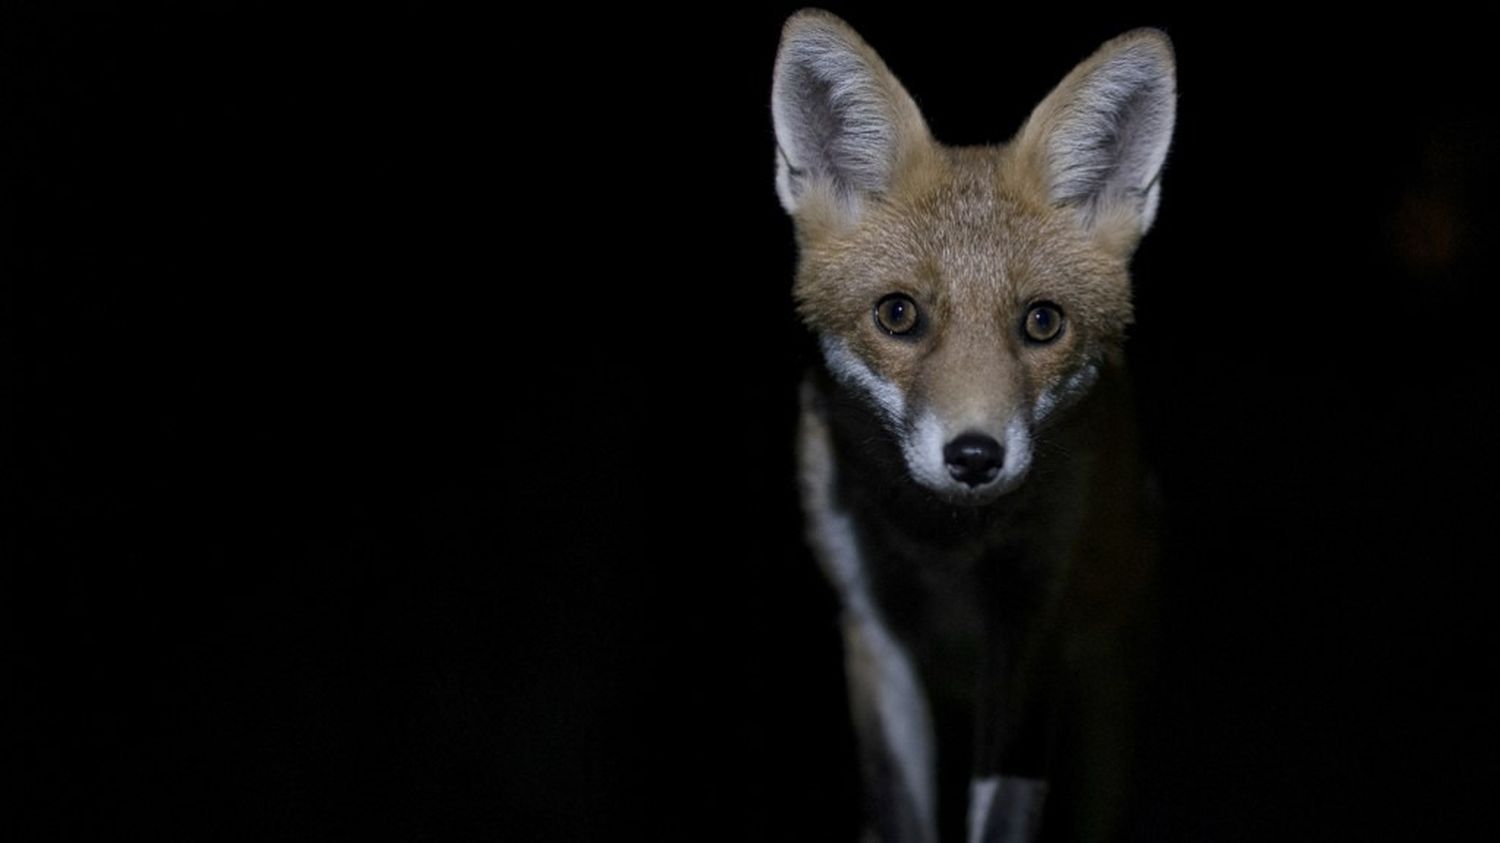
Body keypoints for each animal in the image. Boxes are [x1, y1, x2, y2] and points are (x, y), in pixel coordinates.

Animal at [772, 10, 1175, 843]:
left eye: (1042, 322)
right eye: (898, 314)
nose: (974, 456)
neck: (944, 548)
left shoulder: (1034, 621)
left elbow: (1003, 816)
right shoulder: (872, 628)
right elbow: (900, 811)